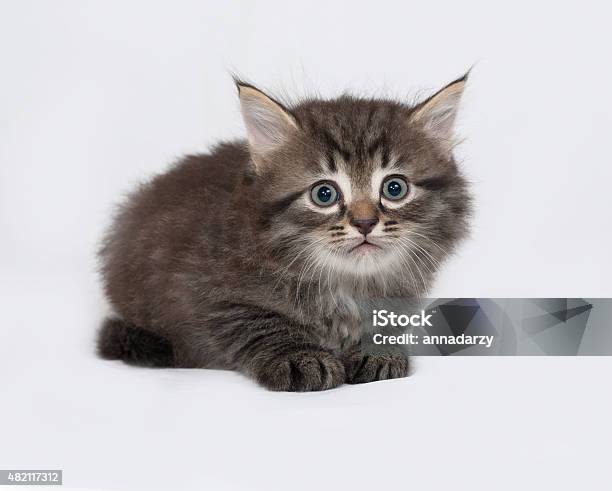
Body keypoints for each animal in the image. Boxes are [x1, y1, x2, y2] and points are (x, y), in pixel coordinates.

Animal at [97, 74, 474, 392]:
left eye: (395, 188)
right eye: (324, 194)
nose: (365, 223)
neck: (346, 283)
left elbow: (387, 322)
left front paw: (378, 351)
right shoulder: (209, 294)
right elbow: (262, 325)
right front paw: (301, 358)